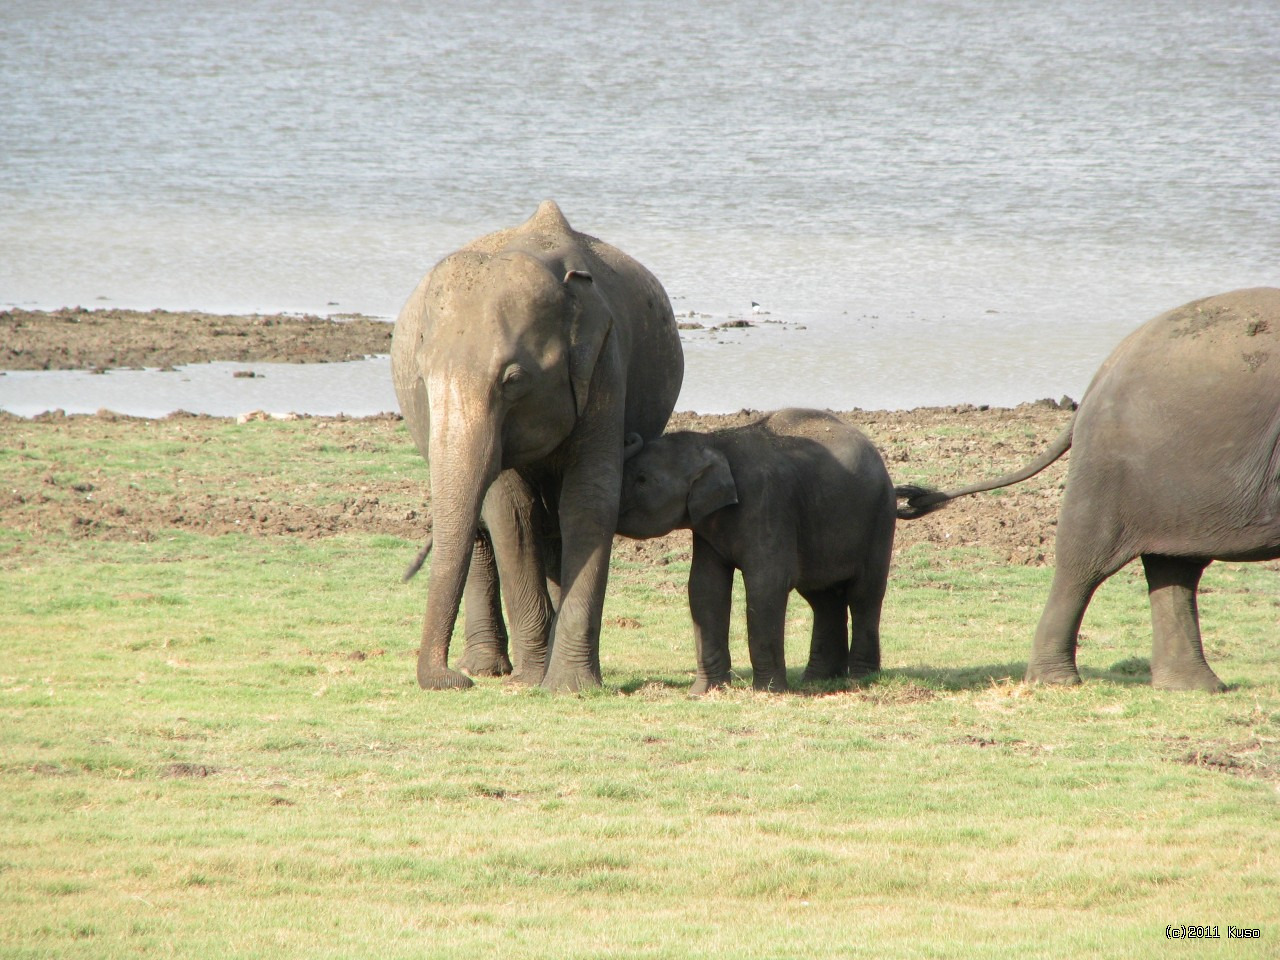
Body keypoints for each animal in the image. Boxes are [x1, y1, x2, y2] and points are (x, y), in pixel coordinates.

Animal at [389, 200, 686, 691]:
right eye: (422, 379)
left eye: (513, 380)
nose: (451, 680)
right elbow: (510, 513)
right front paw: (530, 680)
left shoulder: (605, 363)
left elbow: (589, 499)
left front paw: (569, 686)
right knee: (484, 529)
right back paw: (487, 667)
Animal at [614, 407, 906, 691]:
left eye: (641, 479)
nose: (629, 436)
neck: (714, 442)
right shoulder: (708, 526)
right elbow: (705, 587)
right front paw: (703, 692)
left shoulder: (766, 503)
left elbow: (766, 585)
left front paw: (768, 690)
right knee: (823, 597)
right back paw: (818, 680)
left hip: (879, 518)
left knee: (864, 594)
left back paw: (860, 679)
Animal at [901, 288, 1280, 691]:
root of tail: (1101, 373)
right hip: (1116, 466)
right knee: (1086, 560)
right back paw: (1058, 682)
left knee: (1175, 567)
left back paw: (1194, 687)